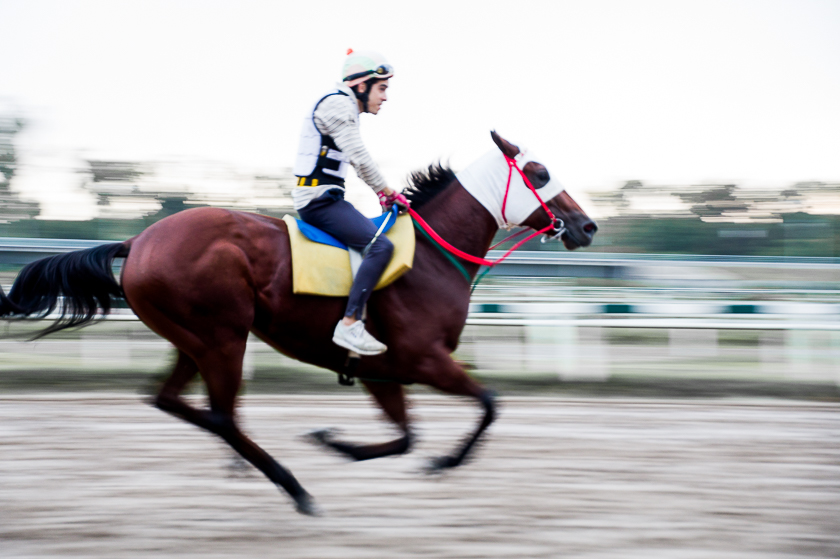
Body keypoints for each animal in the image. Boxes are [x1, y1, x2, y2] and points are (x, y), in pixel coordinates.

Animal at [0, 132, 597, 515]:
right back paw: (293, 487)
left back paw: (258, 468)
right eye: (540, 173)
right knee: (221, 415)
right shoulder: (424, 358)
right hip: (222, 338)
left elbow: (405, 437)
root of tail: (139, 239)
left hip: (192, 340)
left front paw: (337, 442)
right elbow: (489, 404)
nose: (586, 226)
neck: (431, 256)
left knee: (177, 402)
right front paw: (443, 462)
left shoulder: (384, 371)